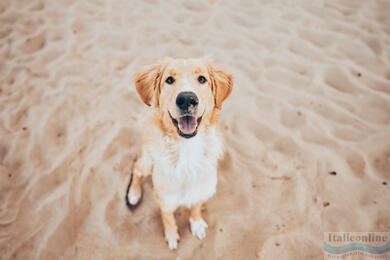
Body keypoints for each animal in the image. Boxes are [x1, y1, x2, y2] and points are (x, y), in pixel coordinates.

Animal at [126, 58, 233, 249]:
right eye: (169, 80)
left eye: (202, 79)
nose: (186, 99)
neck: (187, 148)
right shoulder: (165, 197)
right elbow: (168, 218)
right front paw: (171, 235)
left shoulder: (201, 186)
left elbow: (196, 207)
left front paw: (196, 223)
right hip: (147, 162)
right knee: (136, 168)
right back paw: (133, 193)